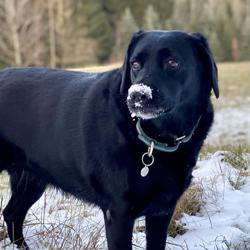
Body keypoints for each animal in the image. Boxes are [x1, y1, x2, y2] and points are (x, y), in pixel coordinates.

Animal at [0, 30, 218, 249]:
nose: (137, 95)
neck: (155, 139)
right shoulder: (118, 214)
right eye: (135, 64)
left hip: (31, 179)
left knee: (11, 214)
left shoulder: (161, 211)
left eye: (173, 62)